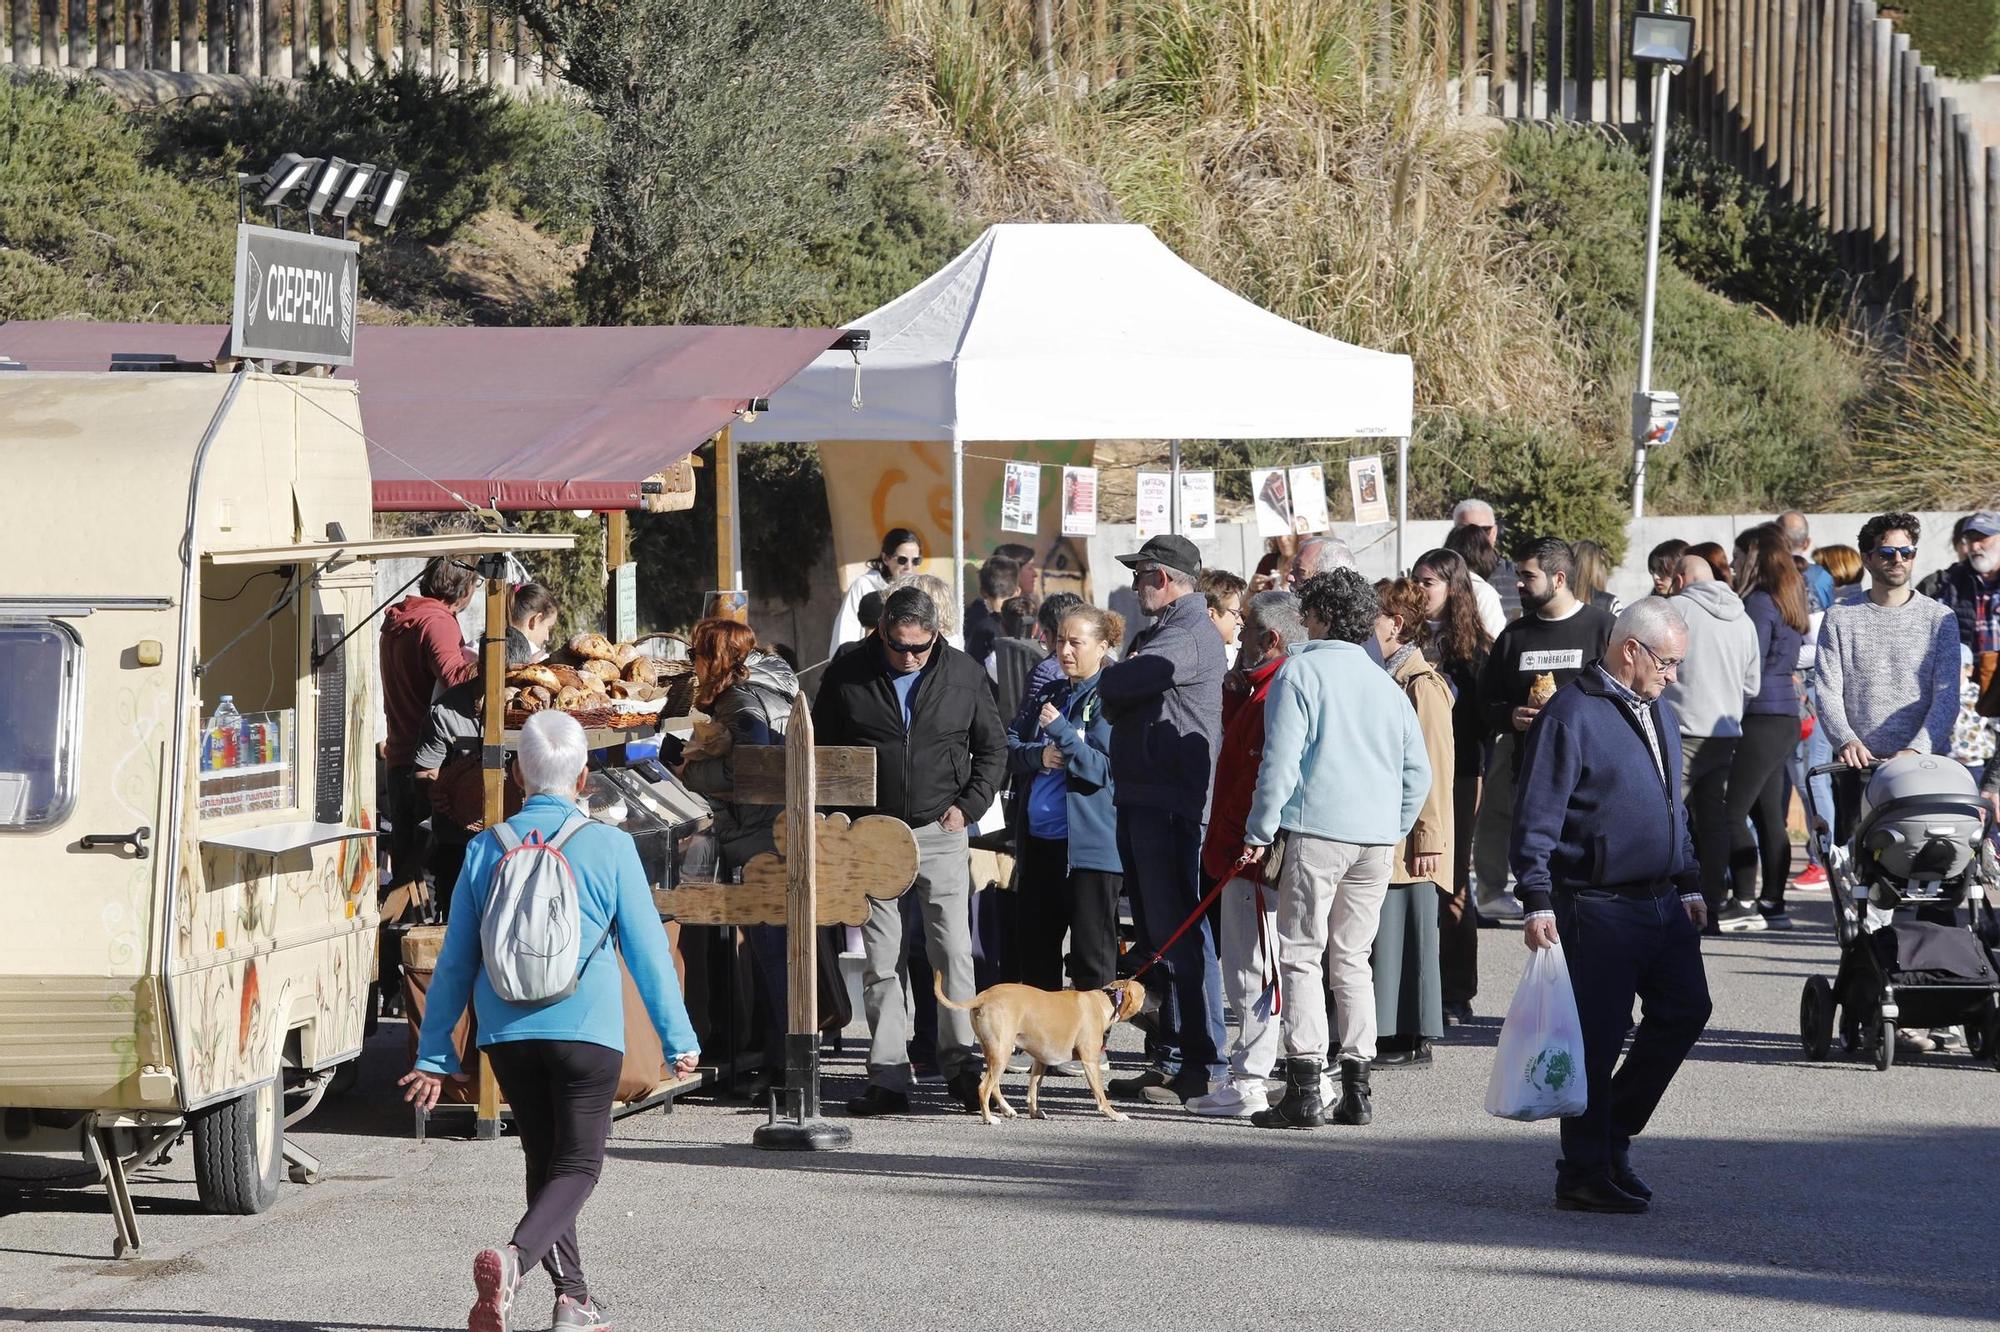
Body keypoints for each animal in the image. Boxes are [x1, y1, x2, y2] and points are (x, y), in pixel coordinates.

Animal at [932, 964, 1144, 1120]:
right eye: (1144, 993)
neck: (1104, 1001)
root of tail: (984, 995)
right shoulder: (1090, 1062)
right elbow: (1100, 1094)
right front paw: (1114, 1114)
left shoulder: (1041, 1061)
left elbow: (1033, 1089)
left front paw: (1034, 1112)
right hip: (1001, 1052)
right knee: (984, 1088)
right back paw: (989, 1118)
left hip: (995, 1052)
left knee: (994, 1085)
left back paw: (1007, 1109)